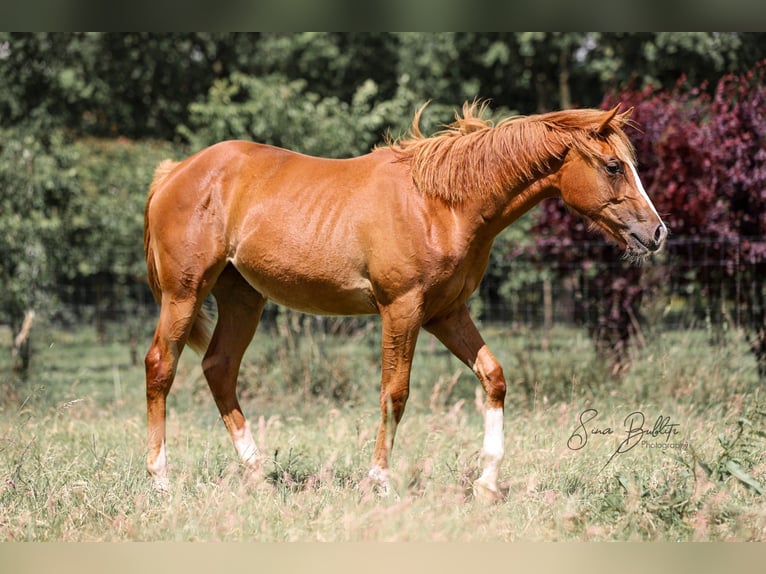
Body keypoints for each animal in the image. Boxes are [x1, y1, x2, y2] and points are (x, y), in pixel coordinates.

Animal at [143, 101, 667, 500]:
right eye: (614, 167)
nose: (657, 232)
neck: (441, 205)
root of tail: (175, 173)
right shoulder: (401, 309)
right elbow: (395, 393)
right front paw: (379, 481)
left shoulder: (445, 313)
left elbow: (493, 377)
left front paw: (487, 483)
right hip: (184, 293)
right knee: (161, 367)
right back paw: (161, 480)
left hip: (243, 298)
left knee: (220, 368)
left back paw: (257, 474)